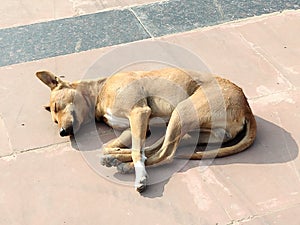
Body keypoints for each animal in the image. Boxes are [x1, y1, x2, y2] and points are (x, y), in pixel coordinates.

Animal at [35, 67, 255, 192]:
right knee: (158, 148)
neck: (99, 93)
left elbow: (135, 151)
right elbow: (117, 146)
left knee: (166, 153)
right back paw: (117, 159)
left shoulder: (139, 112)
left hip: (182, 111)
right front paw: (115, 153)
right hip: (188, 129)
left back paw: (127, 165)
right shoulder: (136, 126)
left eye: (57, 107)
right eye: (54, 120)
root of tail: (246, 106)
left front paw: (140, 176)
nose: (62, 132)